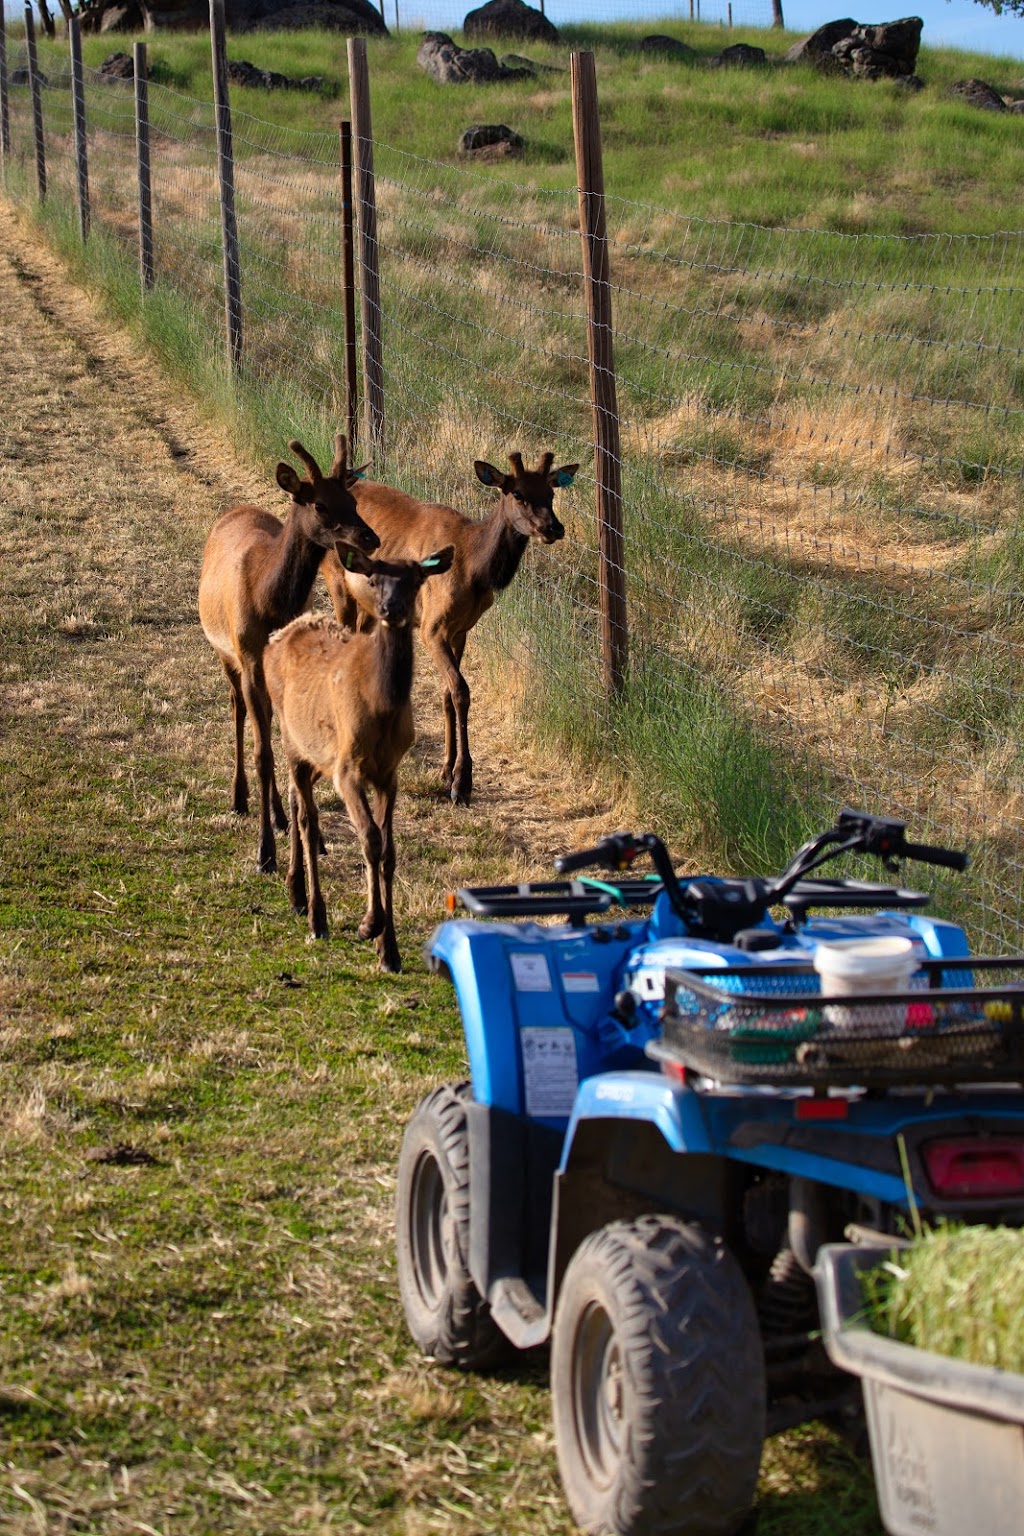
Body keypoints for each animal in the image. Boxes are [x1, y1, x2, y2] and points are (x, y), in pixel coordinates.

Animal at [198, 439, 379, 884]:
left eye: (352, 500)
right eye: (320, 504)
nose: (369, 537)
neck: (269, 601)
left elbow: (290, 747)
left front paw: (315, 840)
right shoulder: (248, 655)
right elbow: (263, 755)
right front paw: (264, 855)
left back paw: (280, 816)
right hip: (223, 650)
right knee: (238, 709)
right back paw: (240, 797)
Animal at [267, 546, 454, 964]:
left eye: (416, 579)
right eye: (374, 578)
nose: (390, 607)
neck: (381, 706)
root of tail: (277, 635)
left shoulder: (389, 773)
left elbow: (390, 851)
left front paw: (390, 951)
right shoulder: (348, 769)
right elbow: (370, 838)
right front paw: (370, 926)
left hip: (317, 754)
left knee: (297, 800)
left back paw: (296, 892)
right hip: (291, 737)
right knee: (307, 818)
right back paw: (316, 917)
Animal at [320, 448, 577, 811]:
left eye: (551, 493)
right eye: (517, 493)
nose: (553, 527)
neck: (473, 569)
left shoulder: (461, 629)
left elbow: (446, 694)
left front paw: (446, 771)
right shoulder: (432, 626)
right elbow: (460, 691)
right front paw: (461, 782)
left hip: (368, 605)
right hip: (336, 582)